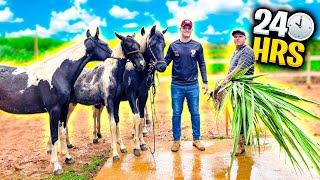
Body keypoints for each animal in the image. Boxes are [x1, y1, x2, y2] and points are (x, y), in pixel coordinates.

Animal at [0, 27, 112, 175]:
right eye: (104, 44)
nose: (114, 53)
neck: (57, 74)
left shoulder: (64, 109)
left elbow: (62, 132)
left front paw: (67, 157)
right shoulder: (54, 111)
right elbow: (54, 136)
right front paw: (56, 166)